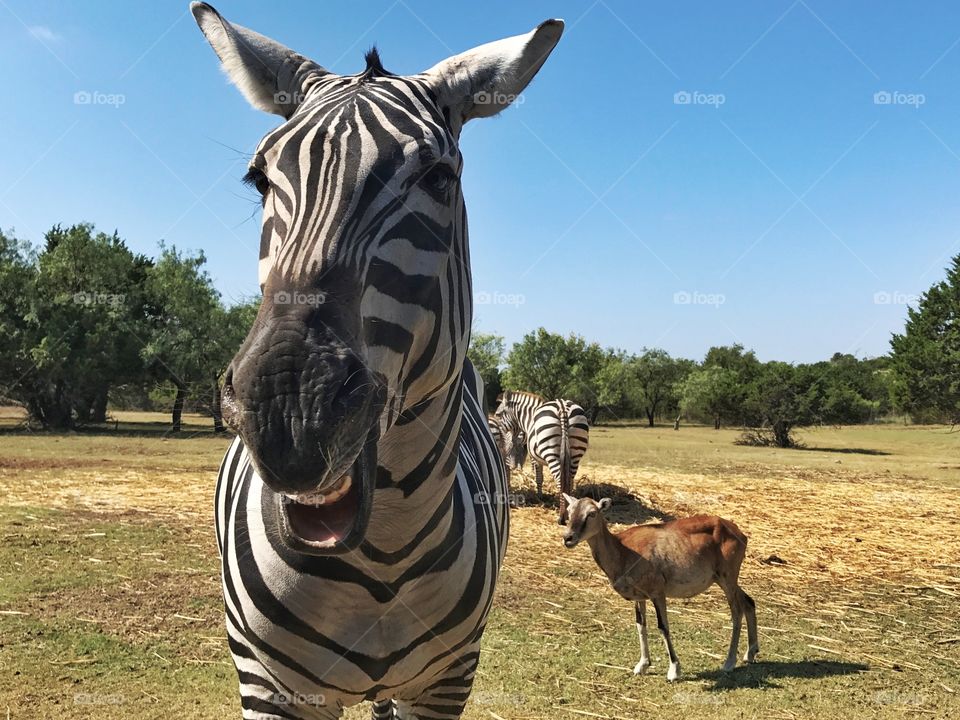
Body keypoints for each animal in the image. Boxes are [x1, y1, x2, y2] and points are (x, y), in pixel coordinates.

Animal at [189, 2, 564, 716]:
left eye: (439, 179)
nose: (289, 411)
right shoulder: (269, 685)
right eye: (260, 179)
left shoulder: (447, 684)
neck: (381, 558)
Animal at [498, 390, 588, 524]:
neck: (529, 418)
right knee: (570, 480)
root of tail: (562, 407)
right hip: (575, 454)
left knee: (560, 480)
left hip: (551, 452)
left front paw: (539, 496)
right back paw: (570, 510)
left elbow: (538, 477)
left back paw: (561, 517)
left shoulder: (534, 457)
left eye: (498, 414)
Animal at [564, 496, 756, 680]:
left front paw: (674, 671)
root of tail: (739, 533)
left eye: (592, 513)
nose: (568, 538)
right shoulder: (639, 596)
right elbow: (640, 625)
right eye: (569, 510)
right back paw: (750, 653)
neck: (622, 551)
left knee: (736, 612)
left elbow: (663, 626)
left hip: (727, 577)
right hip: (725, 579)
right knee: (748, 602)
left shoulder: (657, 592)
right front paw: (642, 665)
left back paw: (729, 662)